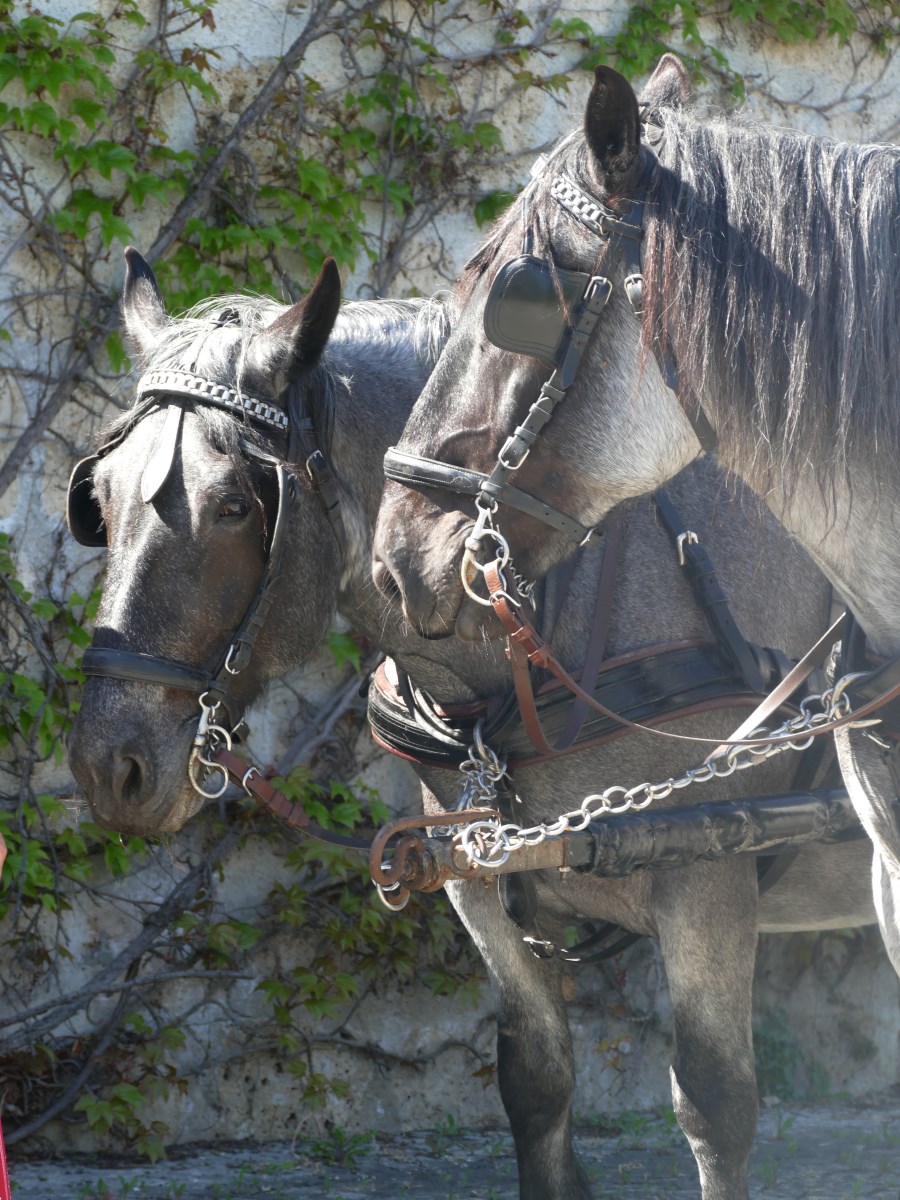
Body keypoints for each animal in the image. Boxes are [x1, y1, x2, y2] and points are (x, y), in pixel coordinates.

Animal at [65, 246, 883, 1200]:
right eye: (100, 497)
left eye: (236, 502)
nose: (108, 765)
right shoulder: (480, 882)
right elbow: (536, 1082)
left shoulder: (707, 879)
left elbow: (715, 1108)